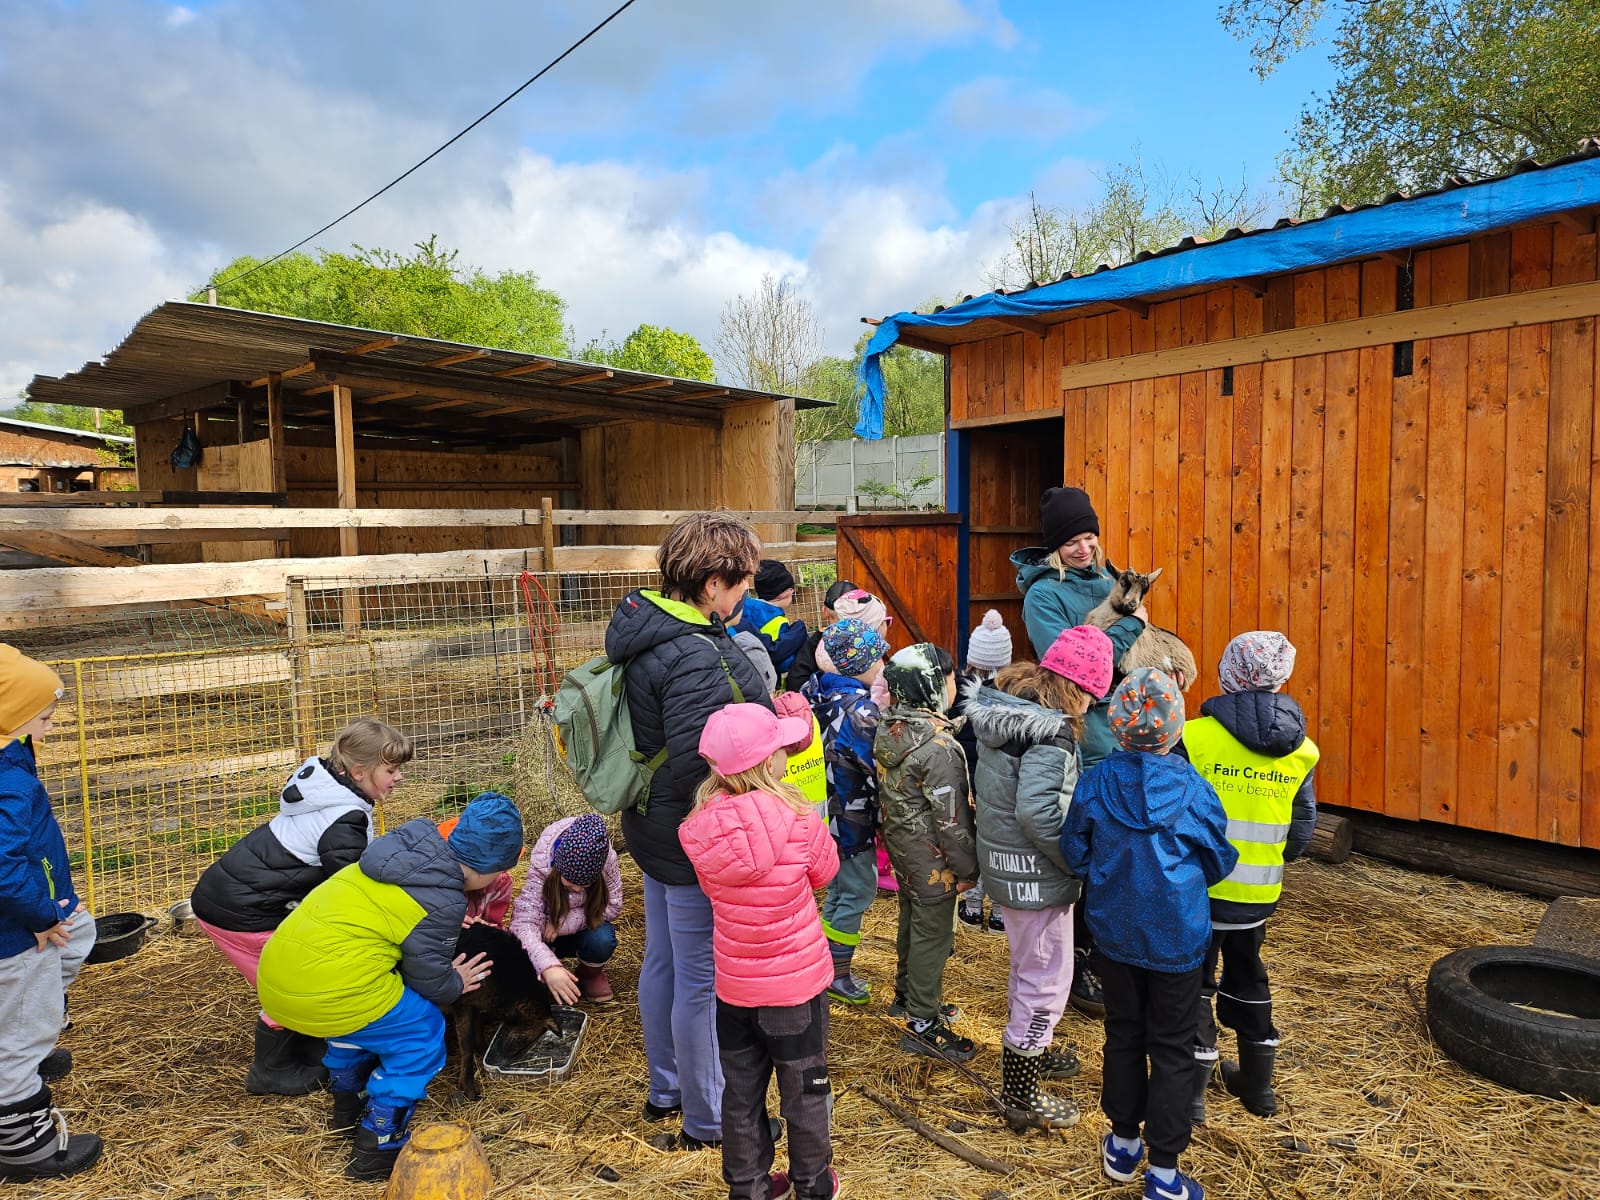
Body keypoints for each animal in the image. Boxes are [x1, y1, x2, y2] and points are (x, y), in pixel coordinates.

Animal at [454, 928, 566, 1107]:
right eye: (528, 1038)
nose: (507, 1054)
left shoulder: (475, 1002)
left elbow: (477, 1027)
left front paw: (483, 1049)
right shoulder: (462, 1001)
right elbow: (466, 1044)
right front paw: (469, 1088)